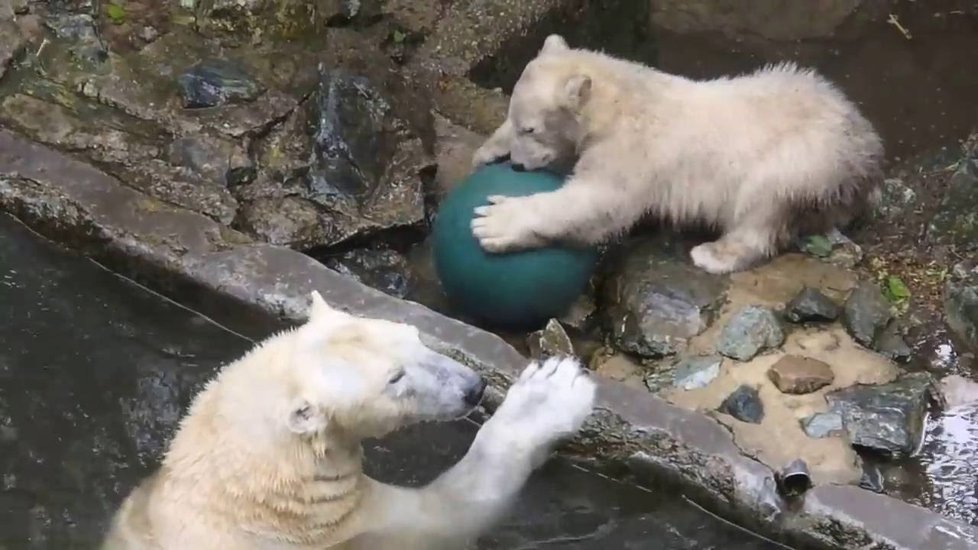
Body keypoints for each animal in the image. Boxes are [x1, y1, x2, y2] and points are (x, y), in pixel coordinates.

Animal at [101, 292, 596, 548]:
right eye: (394, 379)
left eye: (414, 334)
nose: (473, 387)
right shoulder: (346, 528)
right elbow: (452, 513)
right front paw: (551, 392)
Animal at [468, 35, 880, 276]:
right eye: (516, 121)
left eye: (531, 129)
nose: (517, 165)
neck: (619, 101)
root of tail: (867, 150)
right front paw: (488, 151)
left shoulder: (631, 150)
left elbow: (600, 201)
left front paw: (495, 221)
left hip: (806, 159)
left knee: (763, 205)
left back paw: (714, 254)